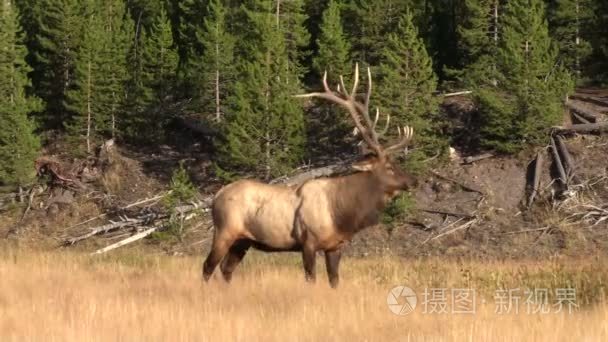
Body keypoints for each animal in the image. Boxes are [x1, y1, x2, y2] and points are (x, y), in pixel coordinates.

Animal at [202, 65, 416, 288]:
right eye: (390, 167)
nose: (414, 181)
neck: (342, 214)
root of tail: (216, 196)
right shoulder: (308, 241)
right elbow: (311, 278)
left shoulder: (335, 246)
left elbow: (334, 281)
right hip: (224, 230)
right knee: (208, 266)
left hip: (243, 240)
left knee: (226, 269)